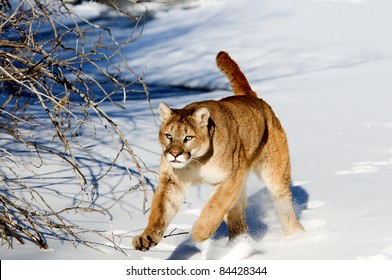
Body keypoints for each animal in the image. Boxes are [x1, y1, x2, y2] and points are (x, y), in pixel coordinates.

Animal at [133, 50, 304, 252]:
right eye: (168, 135)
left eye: (188, 137)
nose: (174, 154)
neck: (195, 162)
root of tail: (252, 97)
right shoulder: (171, 181)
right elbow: (159, 211)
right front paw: (146, 237)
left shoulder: (231, 177)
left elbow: (214, 206)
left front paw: (198, 233)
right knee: (238, 217)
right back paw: (236, 246)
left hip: (274, 173)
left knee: (283, 202)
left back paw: (297, 237)